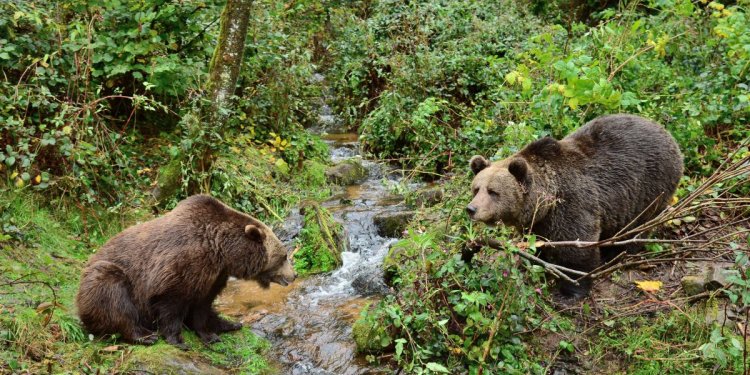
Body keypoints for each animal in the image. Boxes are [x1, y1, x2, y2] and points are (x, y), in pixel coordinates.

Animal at [77, 195, 296, 352]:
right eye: (284, 256)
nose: (293, 275)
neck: (222, 252)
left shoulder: (213, 276)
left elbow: (202, 306)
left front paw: (209, 334)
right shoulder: (183, 265)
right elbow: (171, 303)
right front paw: (178, 339)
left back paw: (230, 323)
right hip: (108, 276)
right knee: (113, 296)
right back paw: (145, 336)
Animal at [470, 114, 688, 296]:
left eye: (493, 192)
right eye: (476, 189)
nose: (471, 209)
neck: (546, 200)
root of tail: (667, 134)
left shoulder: (572, 203)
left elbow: (577, 247)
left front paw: (571, 289)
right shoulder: (539, 222)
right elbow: (538, 243)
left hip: (651, 186)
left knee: (638, 225)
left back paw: (618, 252)